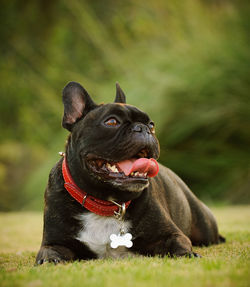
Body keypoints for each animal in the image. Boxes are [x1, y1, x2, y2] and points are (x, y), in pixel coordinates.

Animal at [36, 81, 226, 266]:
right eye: (112, 122)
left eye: (152, 125)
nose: (143, 128)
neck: (107, 203)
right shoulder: (54, 242)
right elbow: (49, 252)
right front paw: (49, 260)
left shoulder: (171, 234)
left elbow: (179, 243)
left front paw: (188, 254)